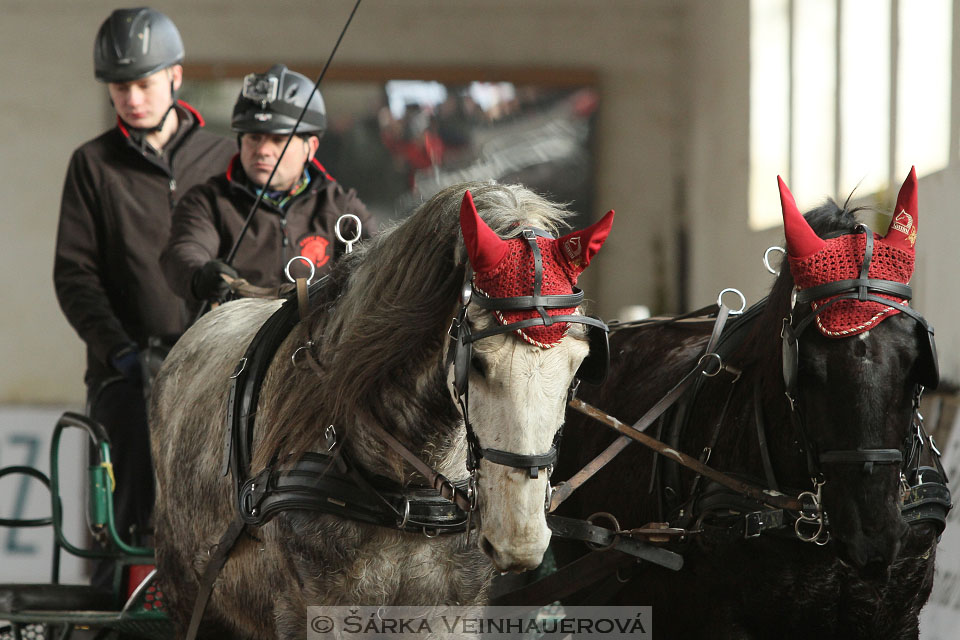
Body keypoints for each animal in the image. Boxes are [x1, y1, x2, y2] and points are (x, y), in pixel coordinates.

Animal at [150, 181, 616, 640]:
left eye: (580, 365)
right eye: (479, 361)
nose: (519, 538)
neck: (402, 491)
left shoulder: (451, 611)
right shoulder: (317, 608)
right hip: (188, 591)